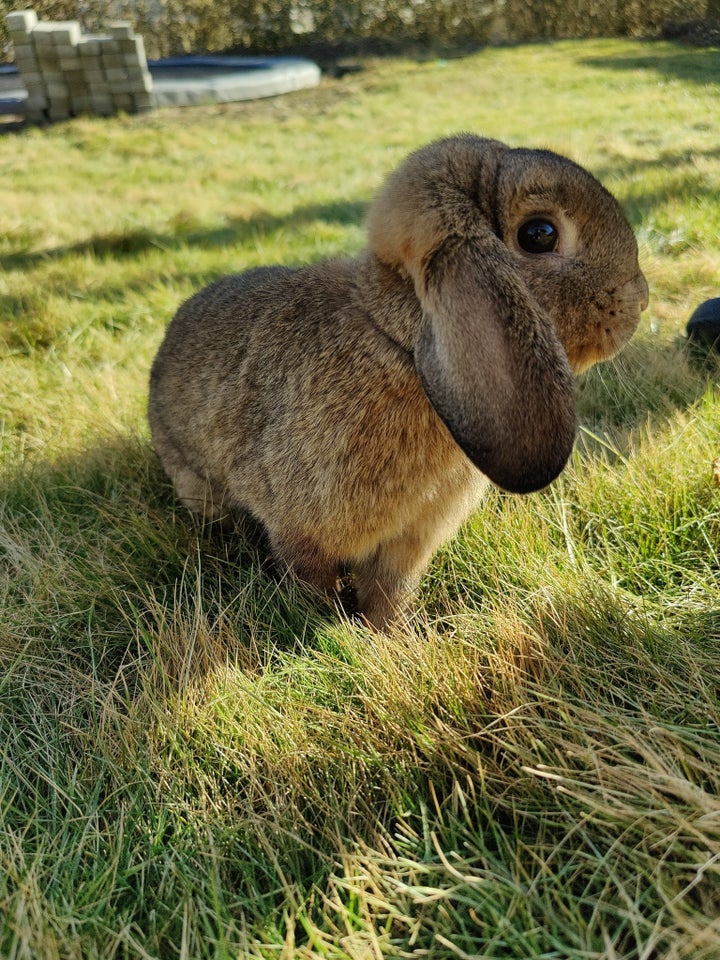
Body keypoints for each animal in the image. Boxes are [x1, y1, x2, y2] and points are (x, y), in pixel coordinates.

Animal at [149, 135, 648, 632]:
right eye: (539, 234)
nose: (640, 298)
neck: (395, 340)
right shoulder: (303, 532)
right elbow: (311, 581)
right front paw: (334, 626)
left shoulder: (409, 542)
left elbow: (389, 588)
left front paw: (388, 633)